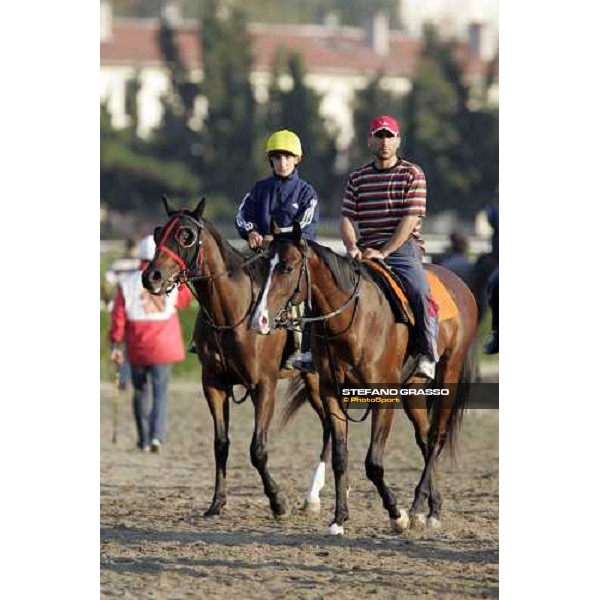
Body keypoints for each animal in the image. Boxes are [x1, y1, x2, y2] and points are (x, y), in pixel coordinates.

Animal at [141, 199, 330, 516]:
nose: (151, 276)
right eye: (158, 233)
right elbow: (221, 443)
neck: (232, 313)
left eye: (186, 235)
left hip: (318, 380)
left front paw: (278, 501)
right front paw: (217, 501)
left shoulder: (263, 386)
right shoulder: (214, 385)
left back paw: (314, 496)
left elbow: (257, 449)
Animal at [253, 224, 478, 536]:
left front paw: (397, 515)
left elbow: (373, 462)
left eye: (287, 267)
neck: (355, 319)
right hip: (413, 388)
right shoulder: (331, 392)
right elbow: (340, 457)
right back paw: (431, 509)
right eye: (263, 266)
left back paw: (418, 509)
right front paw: (338, 519)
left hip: (450, 372)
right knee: (423, 437)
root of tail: (459, 284)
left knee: (436, 438)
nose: (259, 320)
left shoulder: (384, 395)